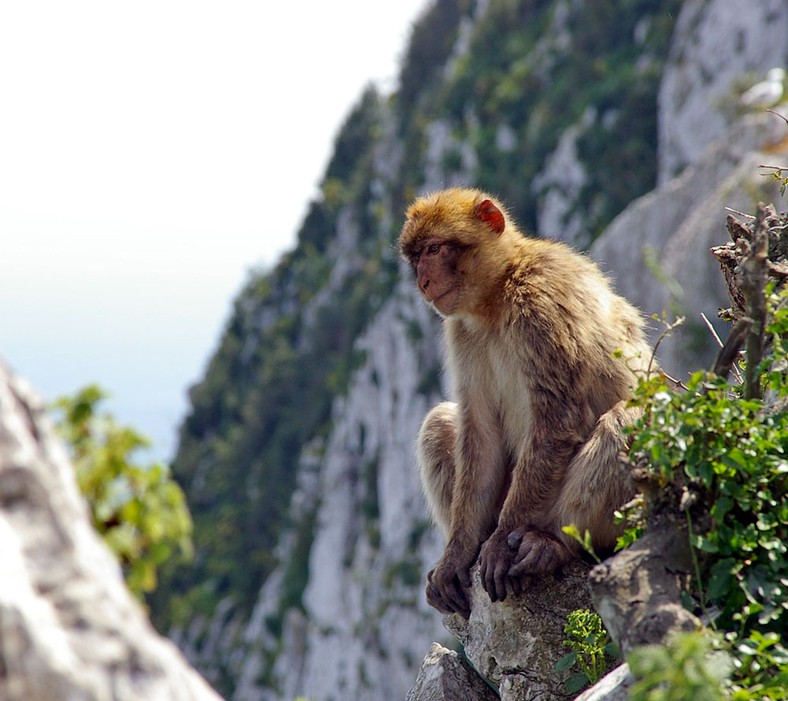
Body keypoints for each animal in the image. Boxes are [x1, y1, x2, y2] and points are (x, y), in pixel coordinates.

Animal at [400, 189, 652, 616]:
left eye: (434, 249)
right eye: (415, 257)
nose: (422, 281)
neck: (497, 294)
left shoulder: (540, 301)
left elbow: (558, 418)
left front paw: (502, 543)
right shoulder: (461, 332)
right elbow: (480, 431)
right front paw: (457, 554)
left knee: (629, 417)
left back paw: (554, 544)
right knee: (439, 422)